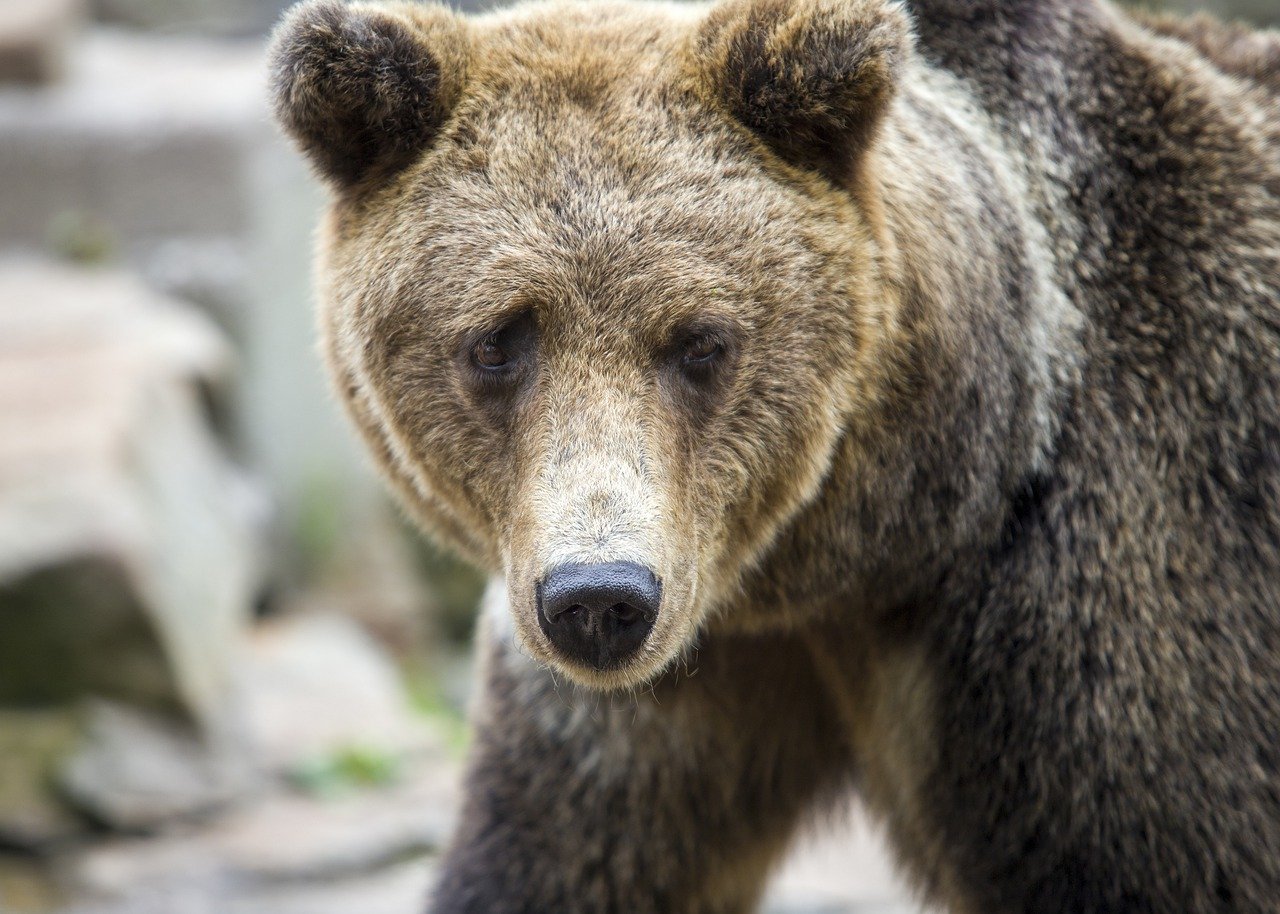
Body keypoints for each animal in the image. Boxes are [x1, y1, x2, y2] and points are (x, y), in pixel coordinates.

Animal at [264, 0, 1280, 906]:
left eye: (700, 342)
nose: (599, 599)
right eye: (498, 341)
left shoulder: (1100, 641)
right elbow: (559, 860)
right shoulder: (654, 698)